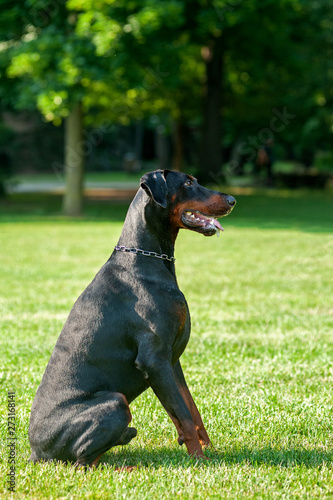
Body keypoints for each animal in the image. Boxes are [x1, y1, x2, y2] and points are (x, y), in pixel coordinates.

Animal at [29, 170, 236, 466]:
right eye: (187, 183)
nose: (232, 200)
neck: (147, 258)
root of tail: (35, 452)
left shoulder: (171, 361)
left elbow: (190, 409)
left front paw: (208, 451)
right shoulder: (154, 359)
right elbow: (184, 415)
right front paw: (199, 461)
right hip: (116, 401)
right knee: (82, 462)